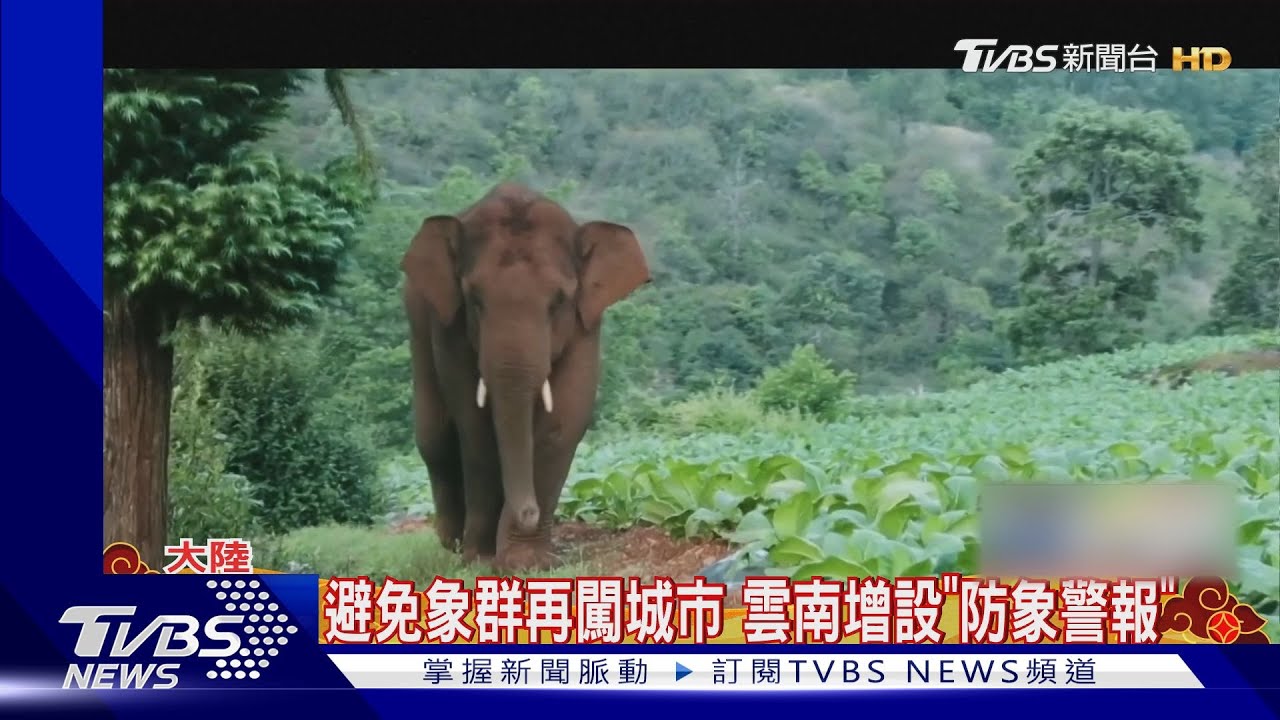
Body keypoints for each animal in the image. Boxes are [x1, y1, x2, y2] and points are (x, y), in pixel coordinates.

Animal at [401, 182, 651, 572]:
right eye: (474, 300)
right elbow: (474, 425)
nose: (529, 512)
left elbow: (564, 420)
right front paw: (481, 559)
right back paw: (453, 544)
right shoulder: (449, 325)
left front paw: (525, 562)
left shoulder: (586, 323)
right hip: (417, 320)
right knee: (435, 438)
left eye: (559, 301)